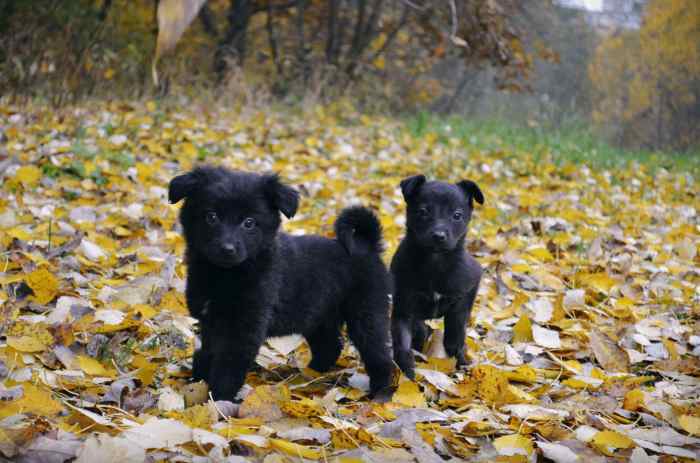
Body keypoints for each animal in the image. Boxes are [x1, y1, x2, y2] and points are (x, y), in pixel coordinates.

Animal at [392, 174, 484, 380]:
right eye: (423, 211)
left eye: (457, 215)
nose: (439, 235)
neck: (434, 262)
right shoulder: (403, 305)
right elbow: (402, 344)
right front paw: (407, 376)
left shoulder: (465, 292)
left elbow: (455, 334)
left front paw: (459, 362)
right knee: (420, 330)